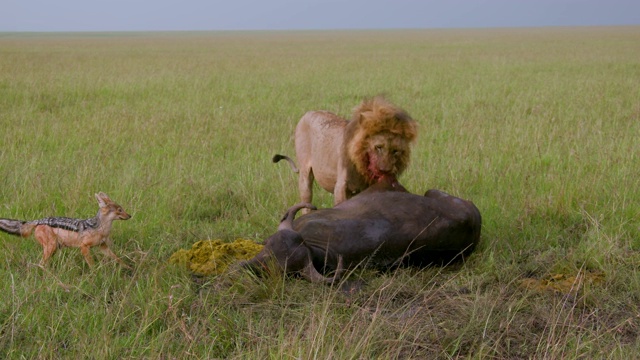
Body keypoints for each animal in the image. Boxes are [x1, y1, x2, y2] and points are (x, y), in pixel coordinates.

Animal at [276, 95, 420, 208]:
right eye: (378, 147)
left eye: (395, 151)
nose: (384, 171)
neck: (362, 166)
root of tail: (309, 112)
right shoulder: (340, 187)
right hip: (305, 176)